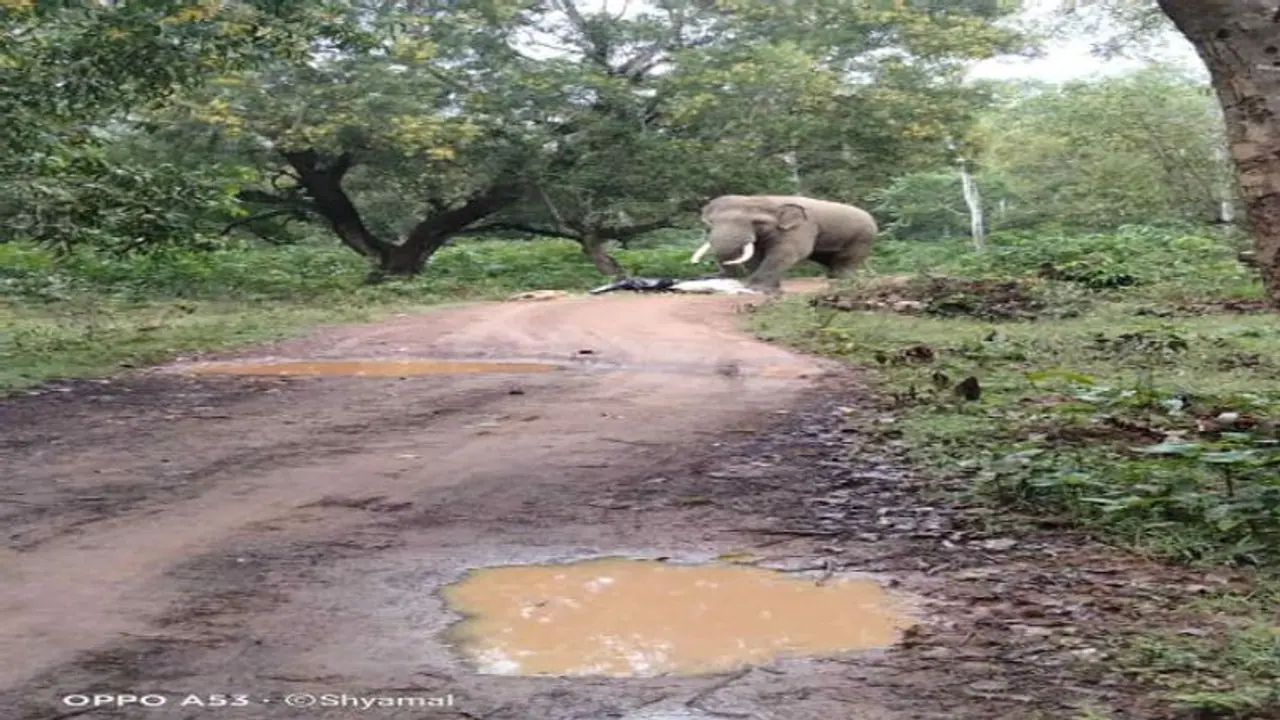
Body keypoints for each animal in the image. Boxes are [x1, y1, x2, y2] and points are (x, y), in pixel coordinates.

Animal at [690, 194, 878, 293]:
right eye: (712, 223)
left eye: (757, 222)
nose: (709, 275)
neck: (767, 199)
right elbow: (756, 256)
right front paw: (769, 290)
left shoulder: (803, 227)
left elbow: (788, 252)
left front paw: (756, 289)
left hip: (862, 238)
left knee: (844, 262)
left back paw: (844, 283)